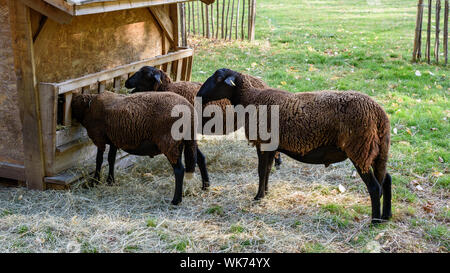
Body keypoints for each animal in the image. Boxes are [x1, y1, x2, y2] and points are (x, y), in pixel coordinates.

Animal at [71, 90, 209, 203]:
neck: (89, 107)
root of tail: (189, 111)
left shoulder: (99, 139)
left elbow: (99, 160)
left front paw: (95, 182)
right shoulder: (114, 140)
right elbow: (111, 159)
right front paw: (110, 181)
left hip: (169, 142)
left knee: (179, 170)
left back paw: (176, 200)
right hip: (188, 141)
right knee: (201, 158)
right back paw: (205, 186)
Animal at [196, 67, 390, 222]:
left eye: (218, 79)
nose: (198, 95)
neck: (250, 99)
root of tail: (379, 112)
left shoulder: (262, 143)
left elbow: (261, 170)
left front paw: (258, 197)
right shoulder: (271, 146)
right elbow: (268, 170)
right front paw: (265, 193)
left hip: (360, 148)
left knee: (374, 187)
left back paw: (374, 222)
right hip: (376, 150)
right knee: (386, 179)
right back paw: (386, 217)